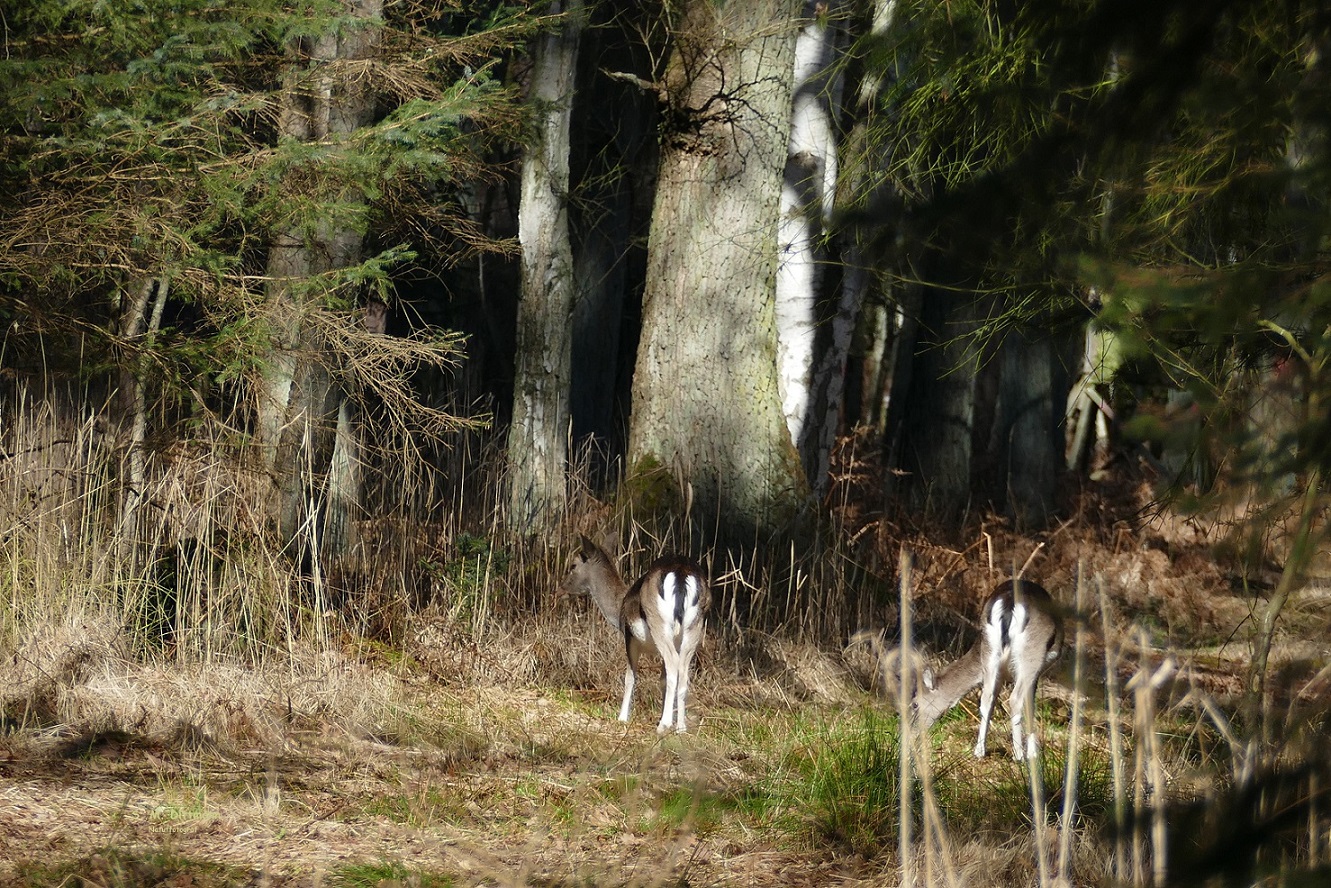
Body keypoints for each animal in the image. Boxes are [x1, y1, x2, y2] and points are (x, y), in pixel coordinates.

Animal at [559, 537, 713, 734]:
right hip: (694, 628)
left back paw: (664, 725)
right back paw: (680, 728)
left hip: (658, 622)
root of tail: (681, 574)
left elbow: (630, 678)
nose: (561, 589)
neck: (618, 608)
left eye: (573, 565)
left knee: (673, 664)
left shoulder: (629, 637)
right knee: (683, 671)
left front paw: (622, 717)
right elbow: (661, 680)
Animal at [910, 580, 1064, 761]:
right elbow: (1030, 703)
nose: (912, 730)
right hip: (1031, 655)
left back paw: (979, 751)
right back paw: (1018, 755)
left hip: (990, 651)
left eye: (914, 704)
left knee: (986, 698)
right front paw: (1033, 754)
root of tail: (1009, 603)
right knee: (1015, 699)